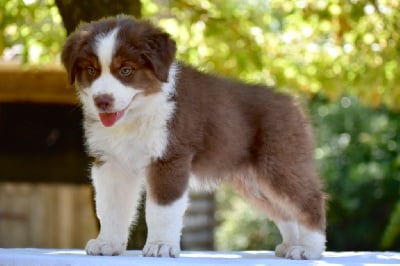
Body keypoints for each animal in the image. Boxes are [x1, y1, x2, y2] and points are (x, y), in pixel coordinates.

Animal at [61, 15, 326, 260]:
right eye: (91, 70)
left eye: (126, 70)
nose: (102, 101)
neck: (137, 114)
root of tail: (293, 104)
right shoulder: (111, 163)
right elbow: (110, 207)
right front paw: (107, 243)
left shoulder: (170, 158)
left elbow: (162, 210)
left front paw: (160, 246)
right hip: (254, 182)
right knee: (283, 211)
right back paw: (291, 245)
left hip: (279, 162)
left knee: (309, 199)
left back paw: (308, 250)